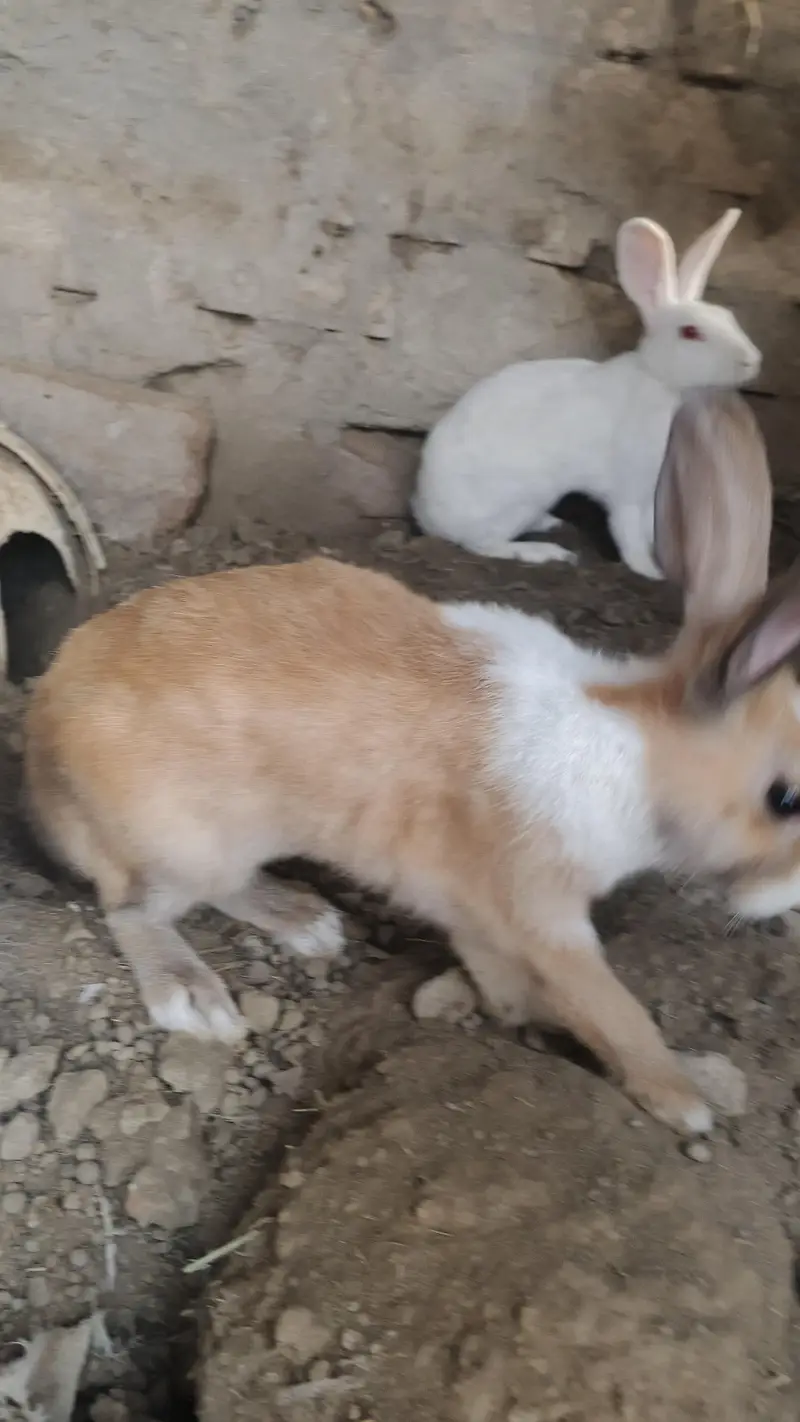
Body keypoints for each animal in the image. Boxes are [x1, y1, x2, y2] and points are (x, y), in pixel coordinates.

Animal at [23, 390, 797, 1138]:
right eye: (784, 798)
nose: (787, 898)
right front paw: (682, 1102)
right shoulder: (541, 913)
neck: (639, 752)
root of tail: (43, 739)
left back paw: (306, 919)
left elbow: (496, 971)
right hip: (187, 845)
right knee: (134, 910)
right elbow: (612, 1008)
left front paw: (518, 1020)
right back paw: (194, 996)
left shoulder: (478, 911)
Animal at [412, 207, 762, 580]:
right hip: (518, 497)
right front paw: (652, 573)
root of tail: (426, 515)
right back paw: (545, 552)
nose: (752, 360)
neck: (656, 377)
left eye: (728, 317)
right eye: (691, 332)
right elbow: (630, 532)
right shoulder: (630, 487)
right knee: (482, 543)